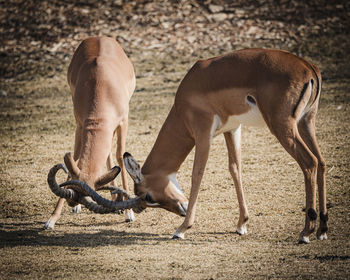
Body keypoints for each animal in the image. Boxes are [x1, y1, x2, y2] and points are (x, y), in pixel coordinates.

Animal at [44, 36, 137, 229]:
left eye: (87, 193)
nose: (73, 201)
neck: (102, 86)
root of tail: (100, 37)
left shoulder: (123, 122)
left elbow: (120, 156)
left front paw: (129, 212)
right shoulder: (81, 124)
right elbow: (76, 156)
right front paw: (52, 219)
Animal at [53, 48, 326, 243]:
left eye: (148, 196)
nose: (182, 211)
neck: (188, 94)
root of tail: (309, 68)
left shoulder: (203, 133)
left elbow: (197, 175)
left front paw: (182, 229)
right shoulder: (232, 129)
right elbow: (235, 169)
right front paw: (241, 224)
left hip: (283, 127)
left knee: (309, 163)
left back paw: (305, 232)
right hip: (306, 122)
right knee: (321, 162)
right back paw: (322, 229)